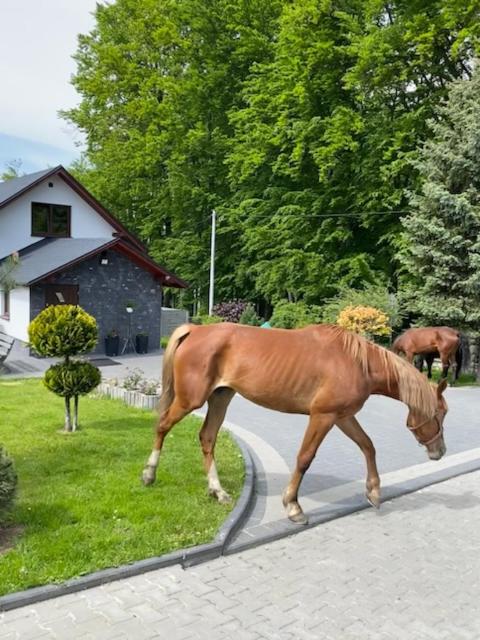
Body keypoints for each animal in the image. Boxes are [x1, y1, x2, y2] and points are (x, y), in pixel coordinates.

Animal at [142, 323, 448, 525]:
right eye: (441, 413)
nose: (440, 451)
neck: (357, 362)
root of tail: (195, 329)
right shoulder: (323, 416)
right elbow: (304, 458)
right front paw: (293, 506)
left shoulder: (342, 416)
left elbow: (368, 446)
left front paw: (373, 491)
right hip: (190, 400)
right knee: (162, 426)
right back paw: (149, 474)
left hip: (221, 397)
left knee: (207, 437)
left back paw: (218, 491)